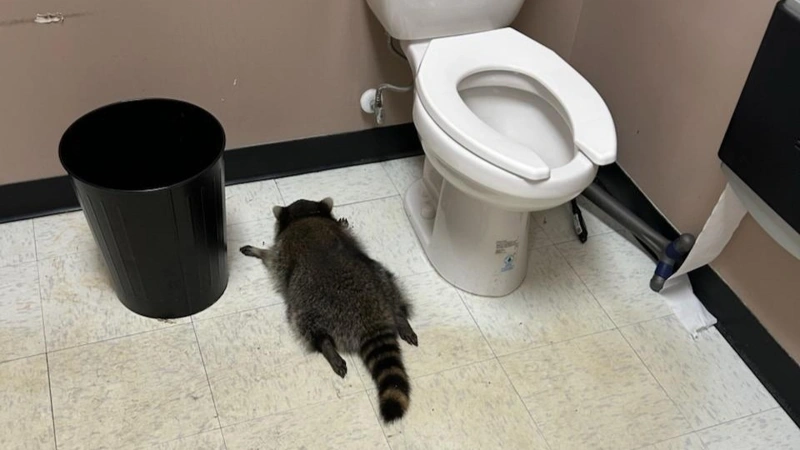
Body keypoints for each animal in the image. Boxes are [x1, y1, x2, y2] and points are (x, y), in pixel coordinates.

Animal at [239, 197, 418, 422]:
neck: (305, 215)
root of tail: (370, 317)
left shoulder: (282, 251)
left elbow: (271, 257)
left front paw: (258, 251)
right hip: (381, 278)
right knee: (392, 289)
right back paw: (401, 318)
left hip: (308, 305)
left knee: (305, 325)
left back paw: (326, 346)